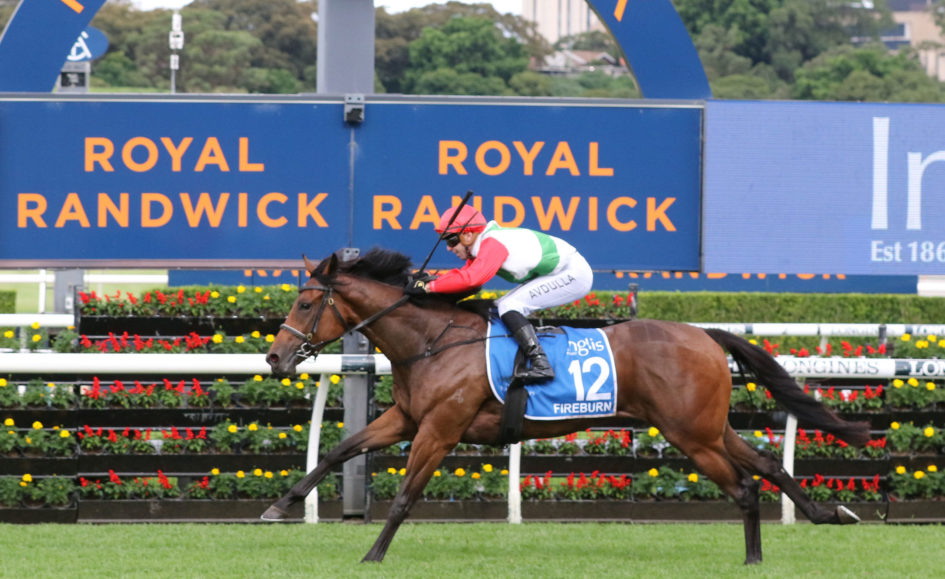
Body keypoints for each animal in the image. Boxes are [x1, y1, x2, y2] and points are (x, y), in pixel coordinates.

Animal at [262, 247, 870, 565]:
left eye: (308, 302)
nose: (274, 356)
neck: (431, 340)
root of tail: (703, 334)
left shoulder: (440, 429)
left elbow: (406, 497)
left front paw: (373, 555)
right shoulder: (407, 418)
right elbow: (340, 450)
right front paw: (279, 506)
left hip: (690, 435)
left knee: (744, 486)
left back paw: (753, 557)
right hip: (707, 427)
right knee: (767, 465)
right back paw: (825, 514)